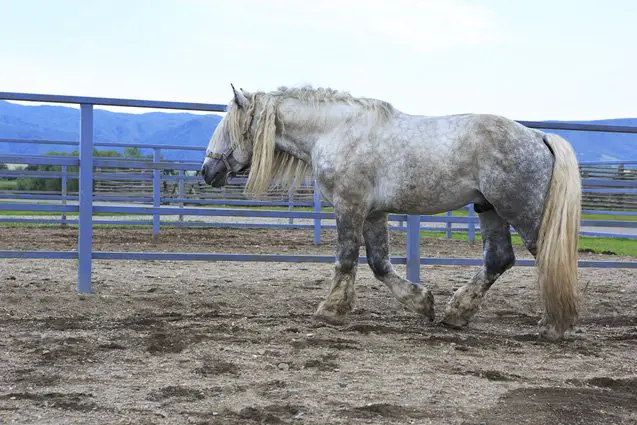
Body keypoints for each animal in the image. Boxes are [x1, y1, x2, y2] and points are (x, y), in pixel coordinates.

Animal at [202, 84, 580, 340]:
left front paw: (330, 311)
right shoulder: (373, 213)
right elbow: (379, 264)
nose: (207, 171)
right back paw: (456, 313)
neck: (335, 131)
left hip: (521, 211)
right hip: (489, 208)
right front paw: (422, 303)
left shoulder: (350, 206)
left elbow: (346, 258)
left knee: (544, 256)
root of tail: (540, 137)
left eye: (230, 128)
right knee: (499, 259)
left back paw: (553, 326)